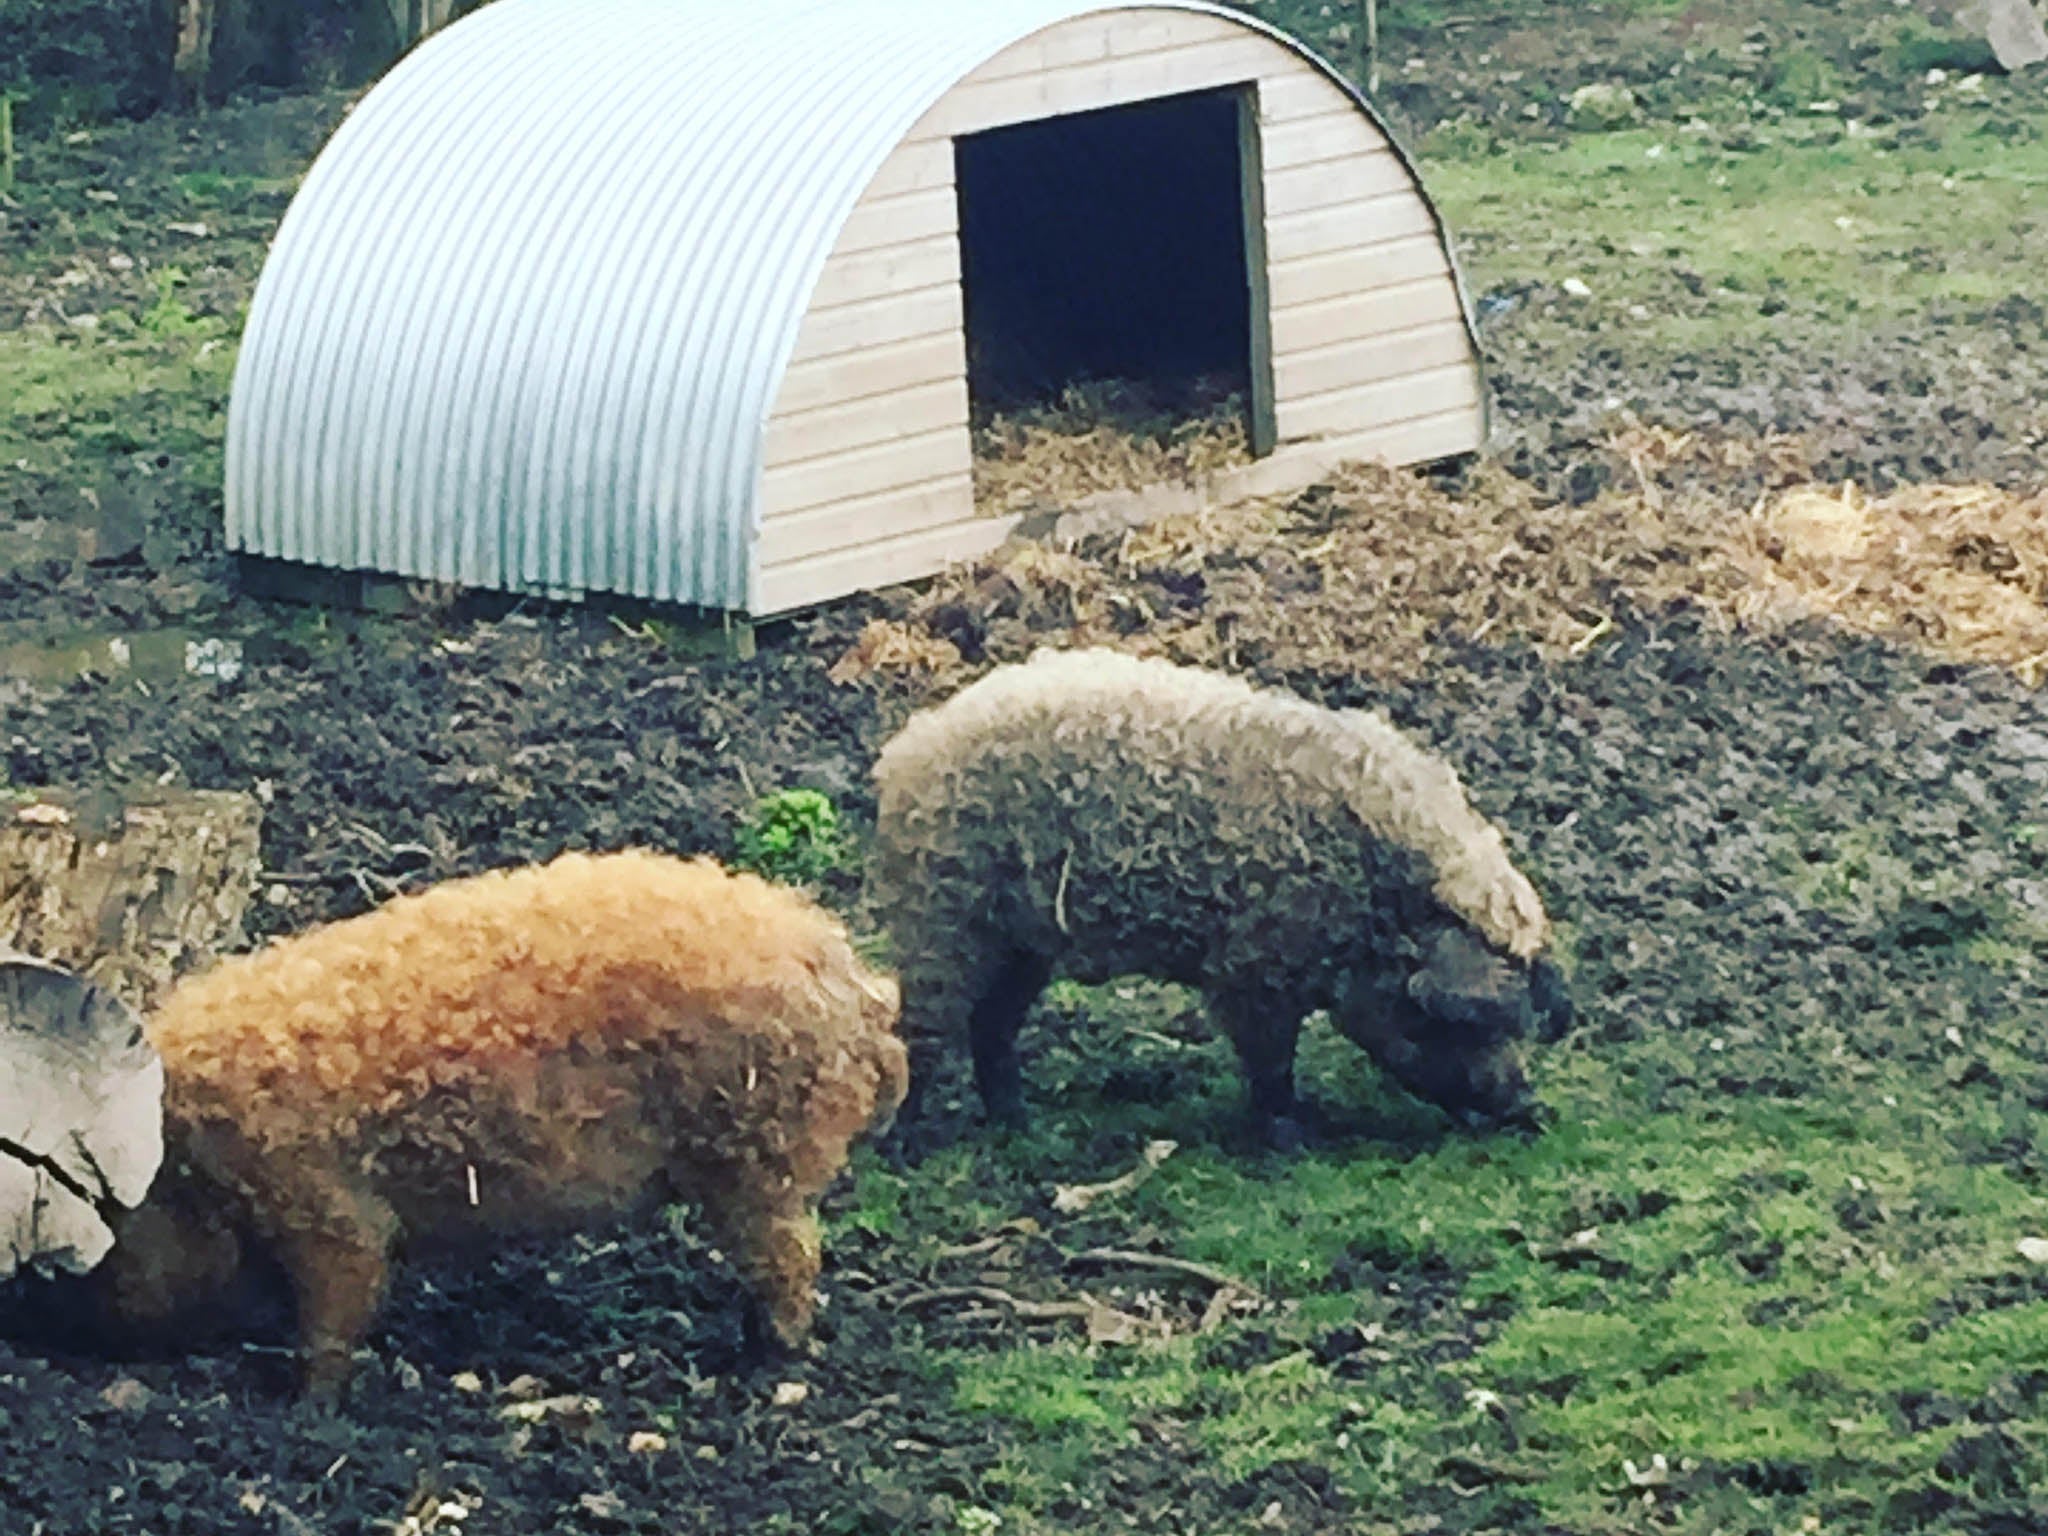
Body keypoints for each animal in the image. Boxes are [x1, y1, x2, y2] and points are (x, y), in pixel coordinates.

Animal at [86, 847, 905, 1400]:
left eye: (112, 1229)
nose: (101, 1333)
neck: (194, 1157)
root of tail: (860, 988)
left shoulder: (322, 1202)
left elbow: (340, 1303)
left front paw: (307, 1402)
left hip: (759, 1158)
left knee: (794, 1257)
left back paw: (767, 1361)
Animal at [864, 651, 1564, 1155]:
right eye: (1457, 1024)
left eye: (1518, 1022)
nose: (1527, 1107)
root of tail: (904, 752)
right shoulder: (1251, 969)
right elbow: (1271, 1063)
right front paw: (1293, 1143)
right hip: (942, 920)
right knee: (924, 1030)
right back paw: (908, 1148)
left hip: (1023, 944)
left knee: (993, 1024)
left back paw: (1021, 1127)